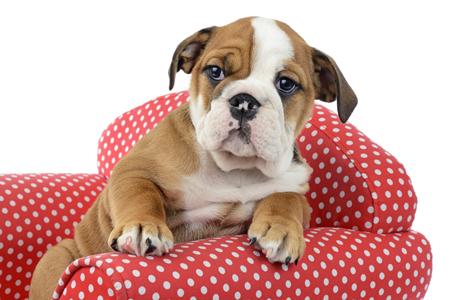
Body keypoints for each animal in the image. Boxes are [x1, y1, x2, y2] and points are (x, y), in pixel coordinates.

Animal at [29, 17, 356, 300]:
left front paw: (281, 229)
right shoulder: (134, 170)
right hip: (59, 256)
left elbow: (287, 199)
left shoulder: (295, 191)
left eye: (286, 84)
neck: (233, 168)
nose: (244, 101)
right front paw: (142, 226)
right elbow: (140, 195)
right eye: (215, 71)